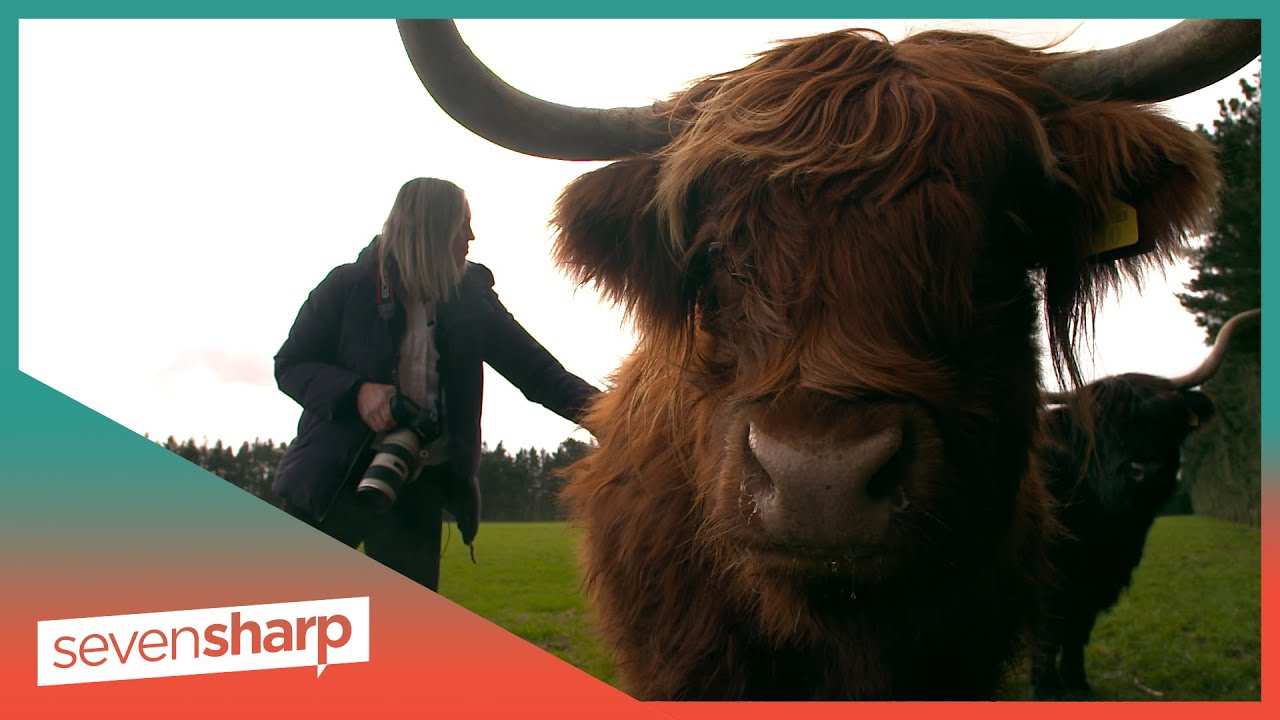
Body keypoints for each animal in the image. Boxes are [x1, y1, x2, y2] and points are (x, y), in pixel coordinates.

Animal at [1031, 307, 1260, 699]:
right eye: (1098, 426)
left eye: (1169, 421)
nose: (1145, 469)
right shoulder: (1050, 580)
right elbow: (1048, 634)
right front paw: (1047, 691)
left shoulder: (1096, 580)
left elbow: (1077, 632)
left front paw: (1079, 686)